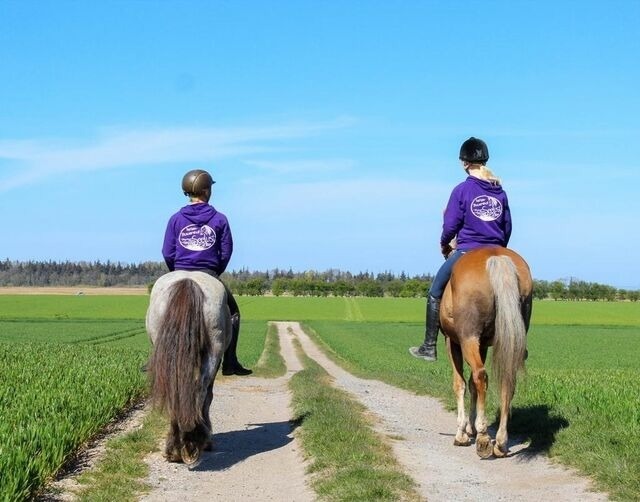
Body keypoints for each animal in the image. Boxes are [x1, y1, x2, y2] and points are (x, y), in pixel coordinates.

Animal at [146, 272, 231, 464]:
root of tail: (188, 280)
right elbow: (208, 398)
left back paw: (176, 448)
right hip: (214, 353)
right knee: (202, 392)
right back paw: (195, 441)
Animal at [440, 247, 528, 458]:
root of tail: (496, 256)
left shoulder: (452, 342)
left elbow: (460, 384)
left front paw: (462, 433)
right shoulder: (483, 345)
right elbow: (471, 385)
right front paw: (469, 428)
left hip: (468, 339)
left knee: (480, 375)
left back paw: (483, 437)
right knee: (507, 382)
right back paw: (501, 442)